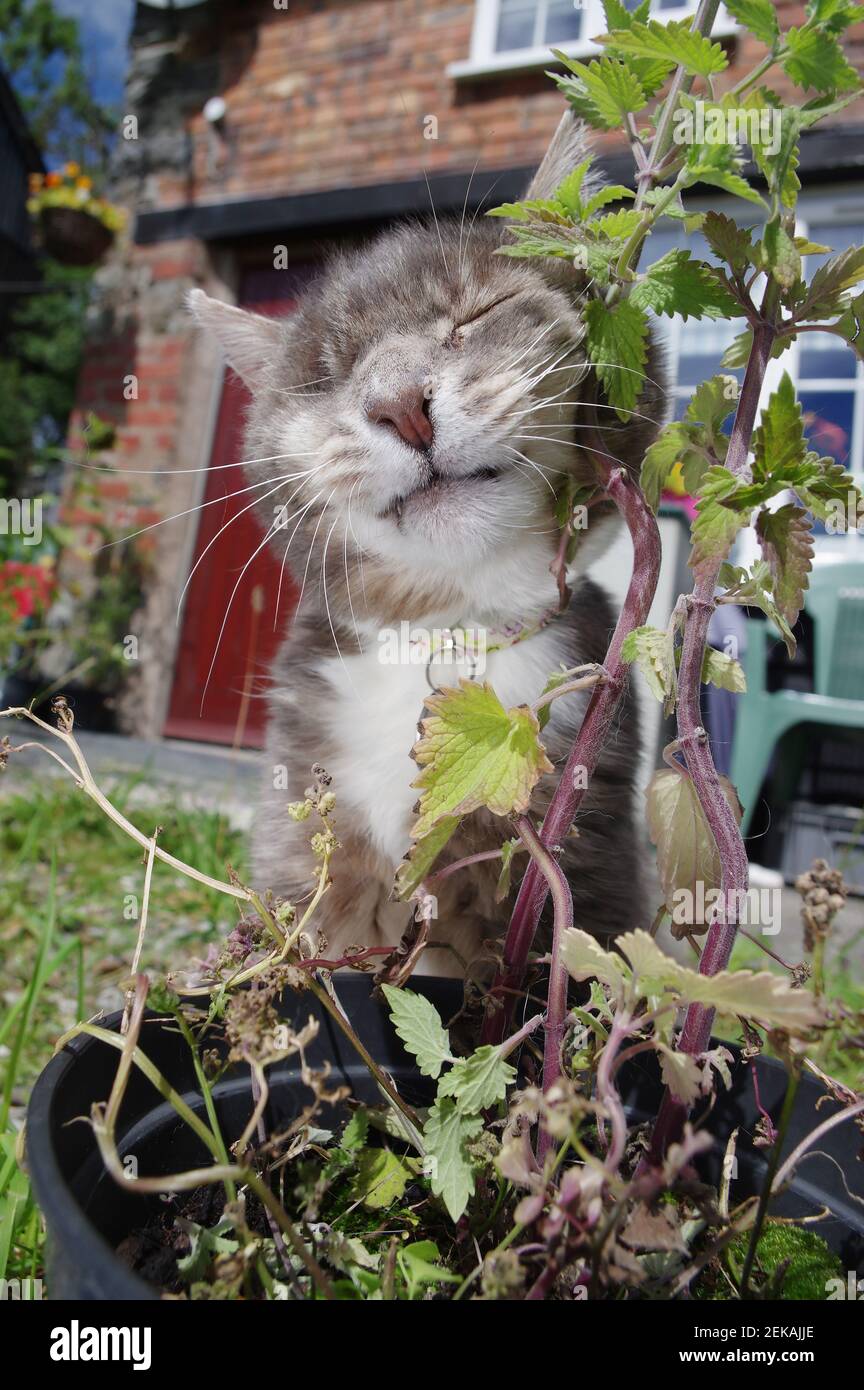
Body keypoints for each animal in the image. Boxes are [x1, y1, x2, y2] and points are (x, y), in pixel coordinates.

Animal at [188, 116, 663, 978]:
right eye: (324, 381)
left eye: (478, 313)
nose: (400, 403)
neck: (449, 626)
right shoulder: (303, 840)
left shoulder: (587, 859)